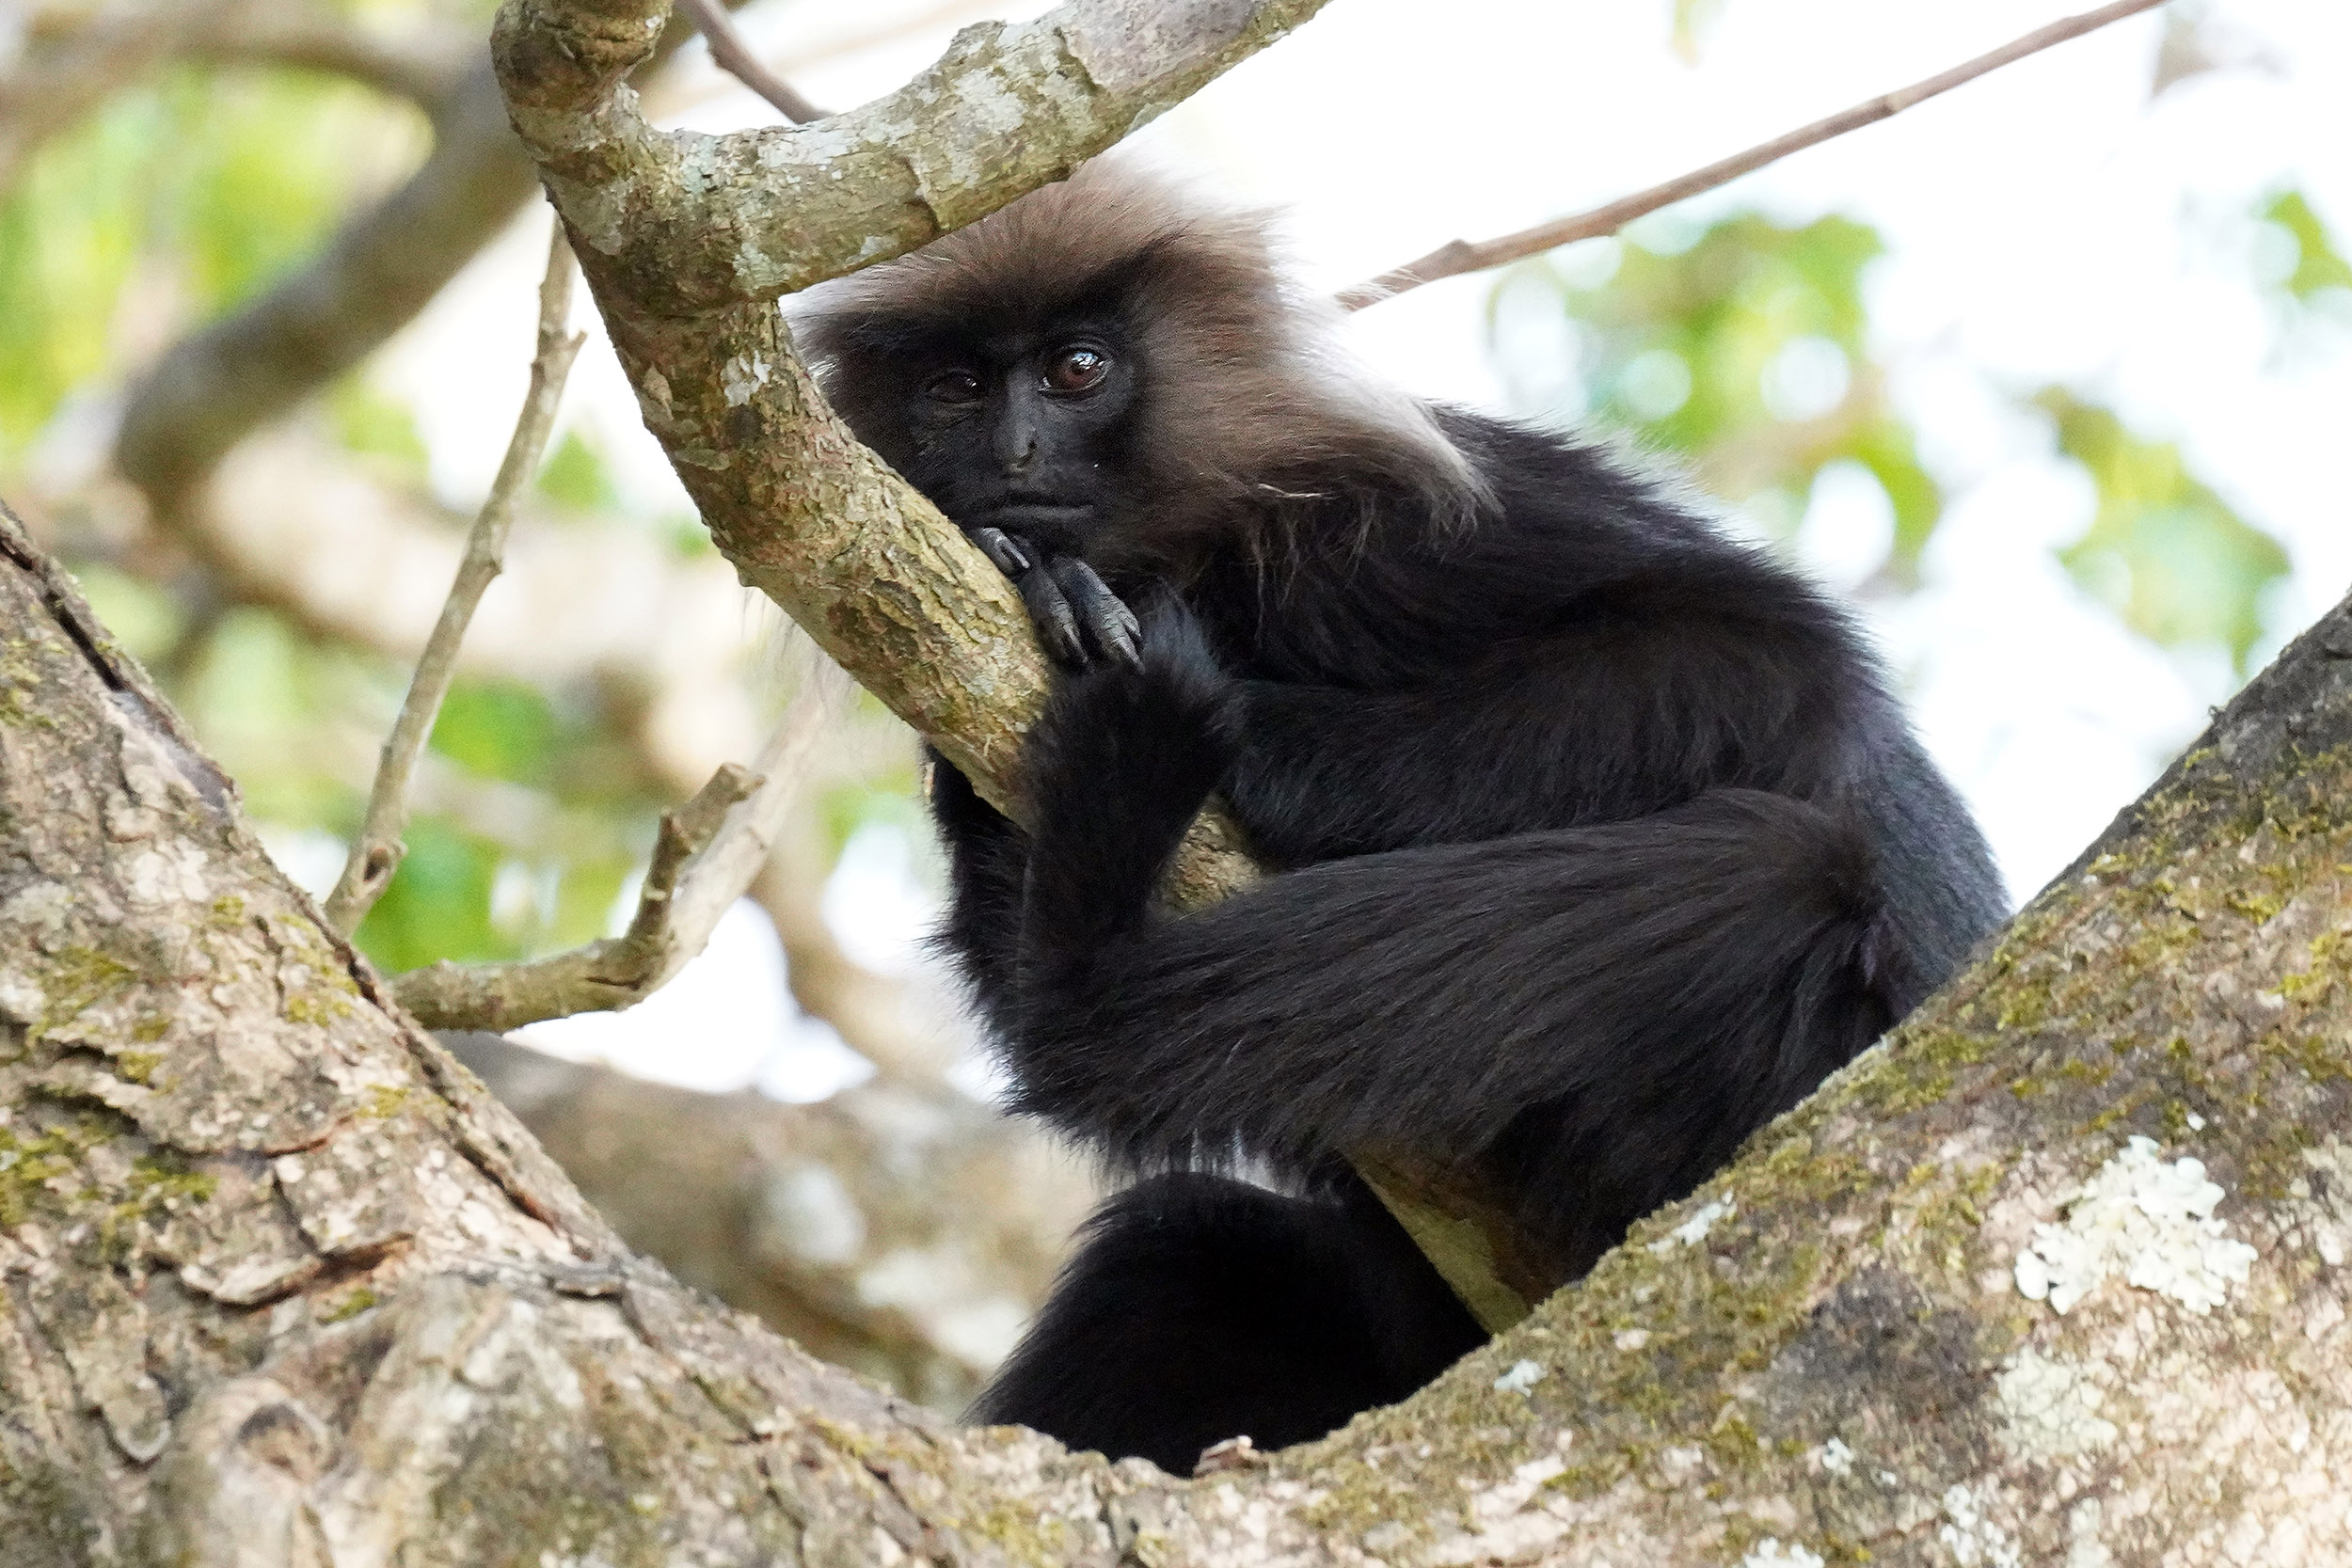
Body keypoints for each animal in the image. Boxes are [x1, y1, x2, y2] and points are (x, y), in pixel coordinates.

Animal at [798, 163, 2008, 1474]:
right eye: (954, 390)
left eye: (1077, 368)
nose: (1015, 450)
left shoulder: (1374, 531)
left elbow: (1765, 660)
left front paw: (1253, 730)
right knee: (1180, 1253)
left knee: (1780, 865)